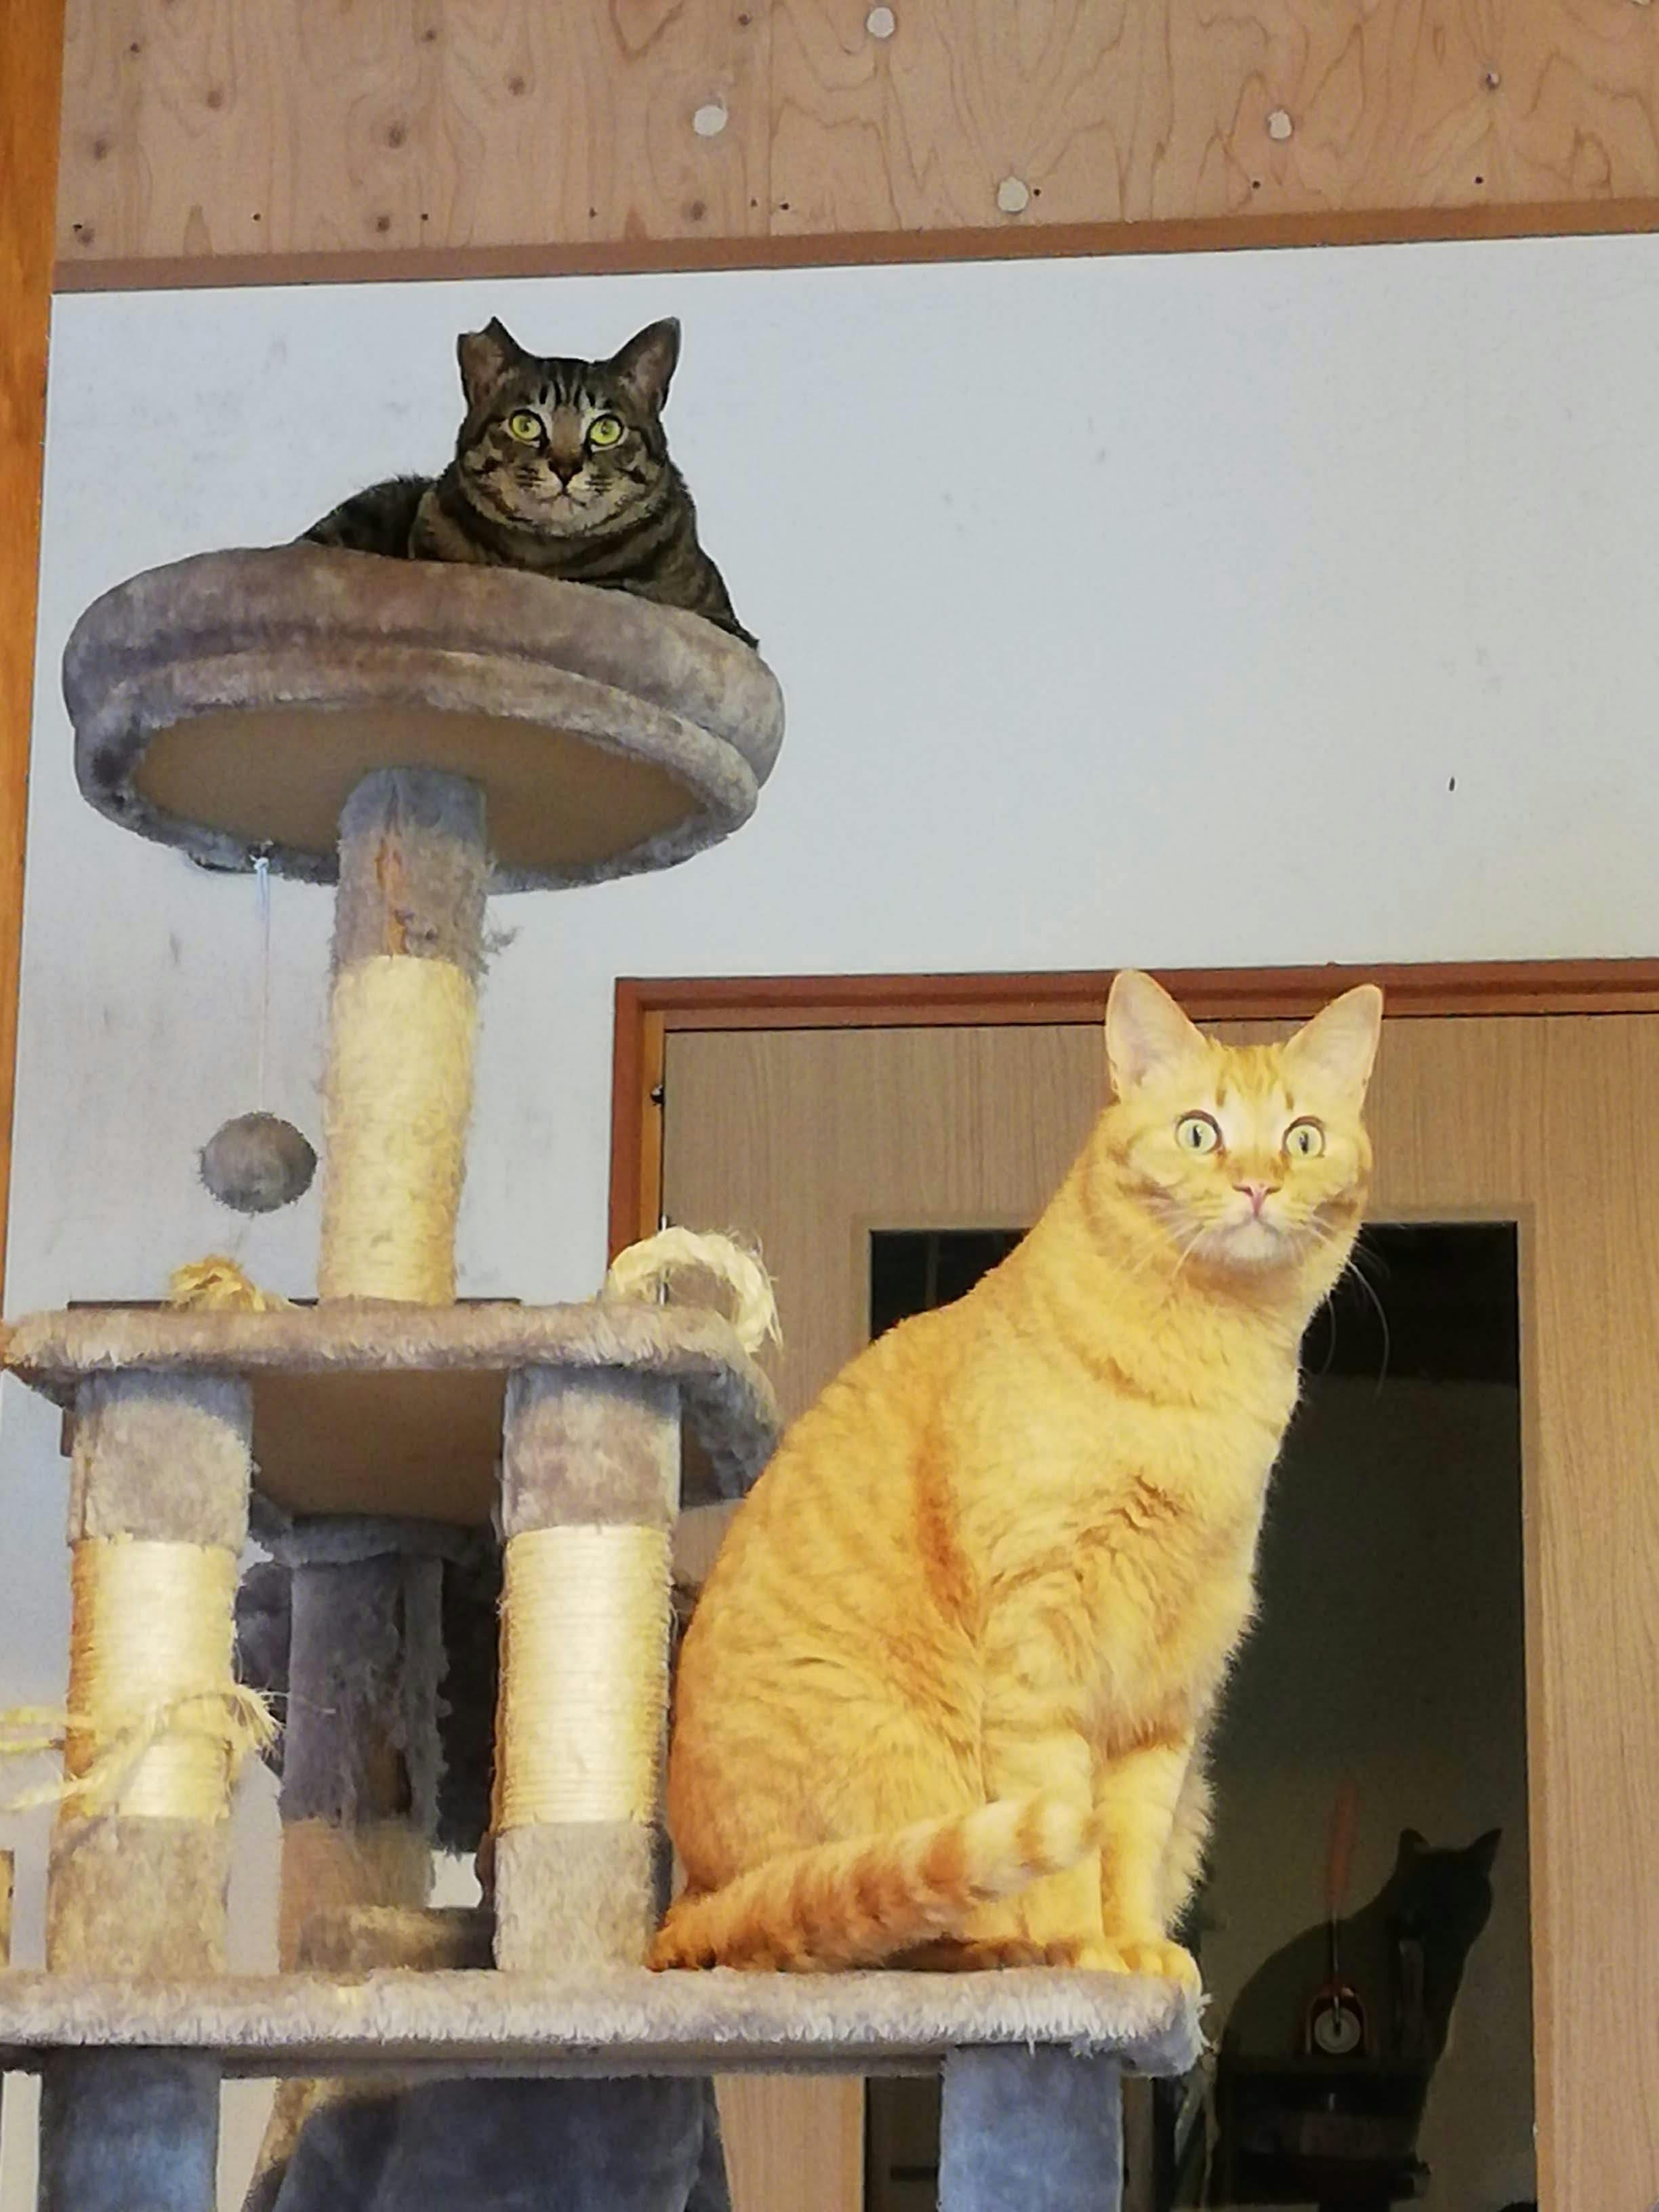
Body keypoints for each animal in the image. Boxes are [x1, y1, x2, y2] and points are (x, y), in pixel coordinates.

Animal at [650, 969, 1384, 1982]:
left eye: (1303, 1137)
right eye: (1201, 1130)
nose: (1256, 1184)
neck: (1206, 1374)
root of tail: (689, 1897)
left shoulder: (1167, 1688)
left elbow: (1129, 1841)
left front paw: (1137, 1953)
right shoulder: (1041, 1644)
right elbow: (1067, 1839)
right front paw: (1082, 1953)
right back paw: (1006, 1950)